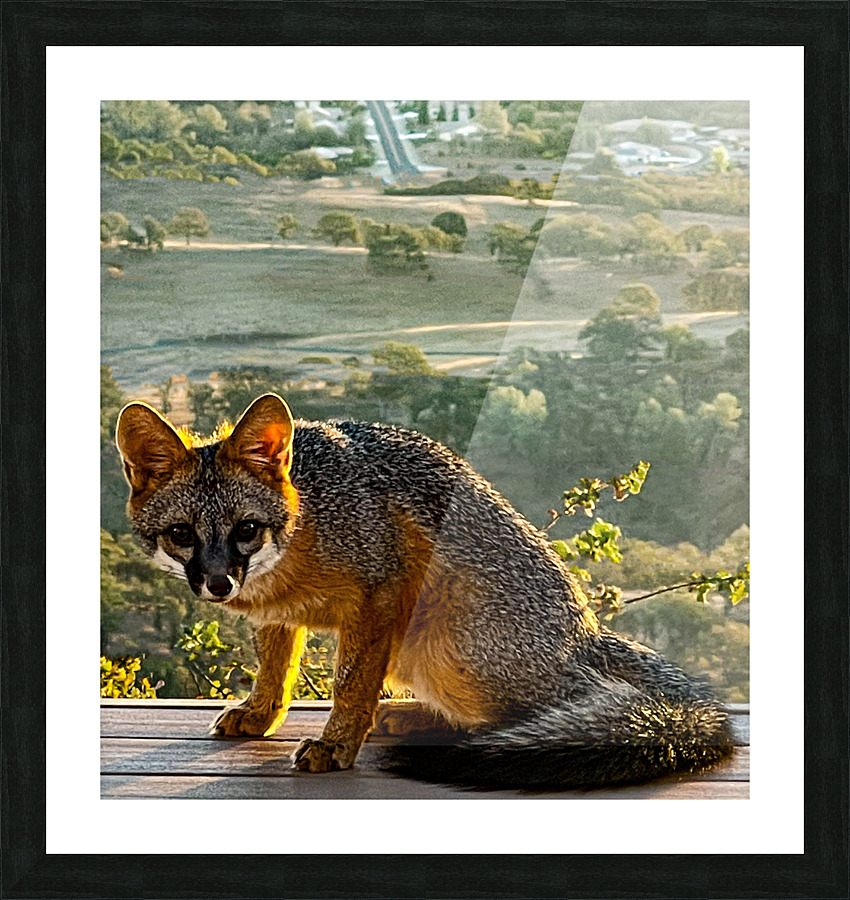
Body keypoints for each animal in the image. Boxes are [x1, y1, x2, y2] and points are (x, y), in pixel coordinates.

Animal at [115, 392, 734, 789]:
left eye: (246, 529)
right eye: (181, 535)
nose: (219, 583)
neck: (308, 522)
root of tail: (587, 632)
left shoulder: (380, 594)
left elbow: (350, 683)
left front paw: (337, 745)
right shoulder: (279, 615)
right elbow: (276, 671)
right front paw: (261, 715)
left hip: (452, 650)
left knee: (567, 709)